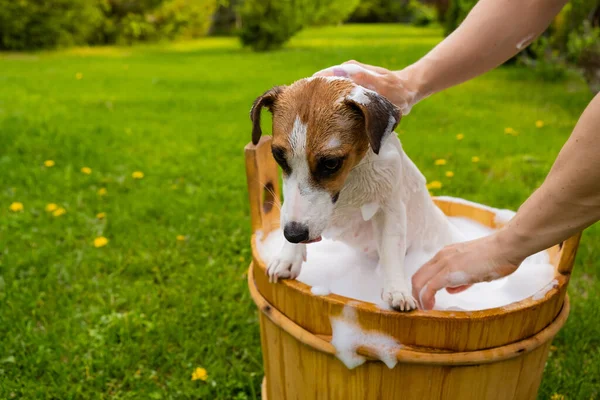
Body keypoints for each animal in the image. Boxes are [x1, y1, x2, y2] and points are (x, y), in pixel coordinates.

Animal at [248, 76, 460, 310]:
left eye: (331, 163)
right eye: (278, 156)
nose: (294, 235)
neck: (349, 183)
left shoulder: (390, 207)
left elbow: (391, 250)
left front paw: (397, 289)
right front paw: (288, 257)